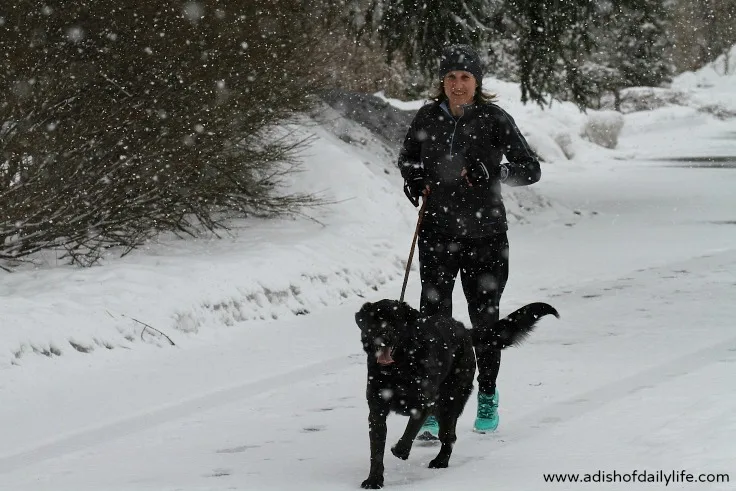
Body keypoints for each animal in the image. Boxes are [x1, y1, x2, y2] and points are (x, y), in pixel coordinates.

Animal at [356, 300, 556, 488]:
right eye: (374, 320)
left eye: (395, 321)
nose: (383, 337)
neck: (398, 369)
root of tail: (464, 330)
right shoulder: (376, 412)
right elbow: (376, 451)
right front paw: (374, 480)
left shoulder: (423, 404)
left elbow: (410, 431)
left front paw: (400, 450)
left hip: (448, 402)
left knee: (449, 436)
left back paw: (441, 461)